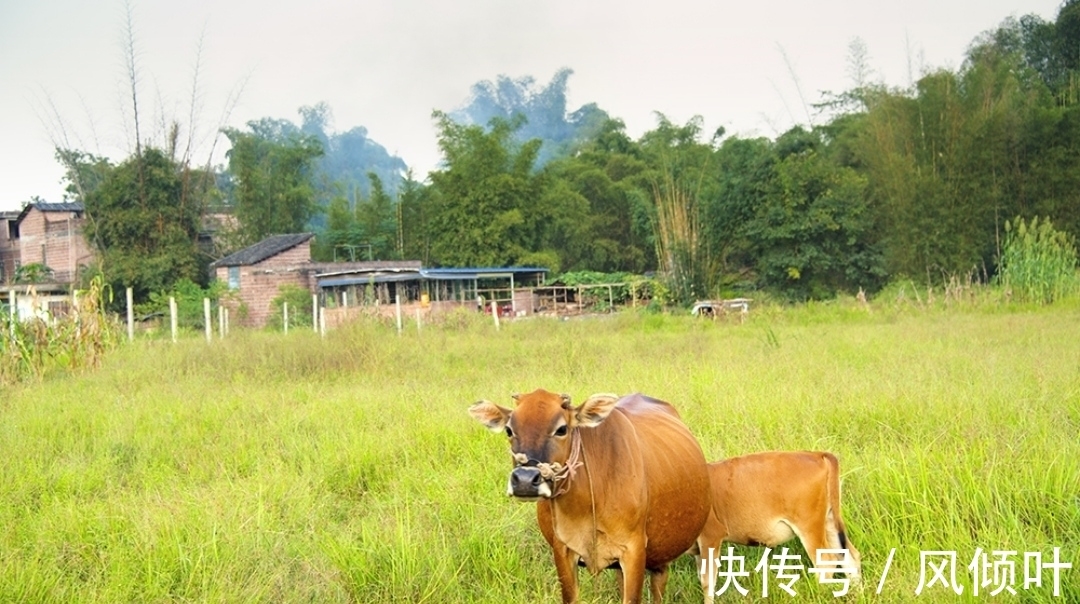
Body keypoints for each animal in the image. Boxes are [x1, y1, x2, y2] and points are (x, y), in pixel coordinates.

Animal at [695, 451, 864, 600]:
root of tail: (816, 454)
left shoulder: (711, 537)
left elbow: (707, 583)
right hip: (829, 522)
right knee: (850, 557)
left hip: (810, 527)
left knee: (826, 562)